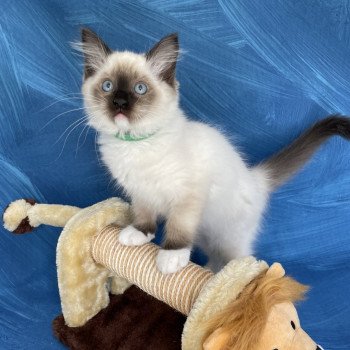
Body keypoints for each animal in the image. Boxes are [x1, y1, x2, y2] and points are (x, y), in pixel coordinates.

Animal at [80, 27, 350, 274]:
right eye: (107, 86)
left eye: (139, 89)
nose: (119, 103)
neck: (135, 143)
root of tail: (255, 177)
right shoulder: (140, 192)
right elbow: (143, 214)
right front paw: (138, 234)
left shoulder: (188, 195)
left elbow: (178, 226)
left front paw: (171, 257)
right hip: (206, 235)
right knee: (217, 257)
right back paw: (210, 273)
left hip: (229, 237)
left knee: (240, 259)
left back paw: (221, 281)